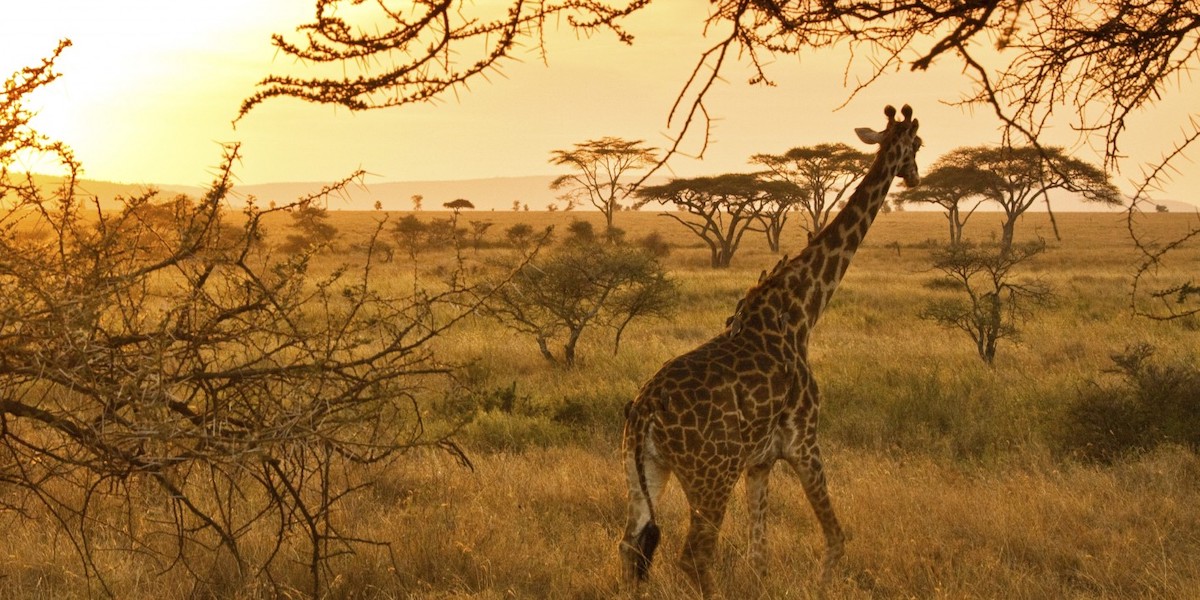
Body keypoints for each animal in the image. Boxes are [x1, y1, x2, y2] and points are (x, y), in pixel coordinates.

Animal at [614, 104, 921, 595]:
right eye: (918, 144)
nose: (914, 176)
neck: (801, 312)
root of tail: (644, 408)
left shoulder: (759, 463)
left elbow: (760, 555)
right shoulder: (804, 441)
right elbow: (836, 538)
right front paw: (822, 588)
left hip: (643, 466)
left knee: (631, 544)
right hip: (710, 476)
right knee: (693, 554)